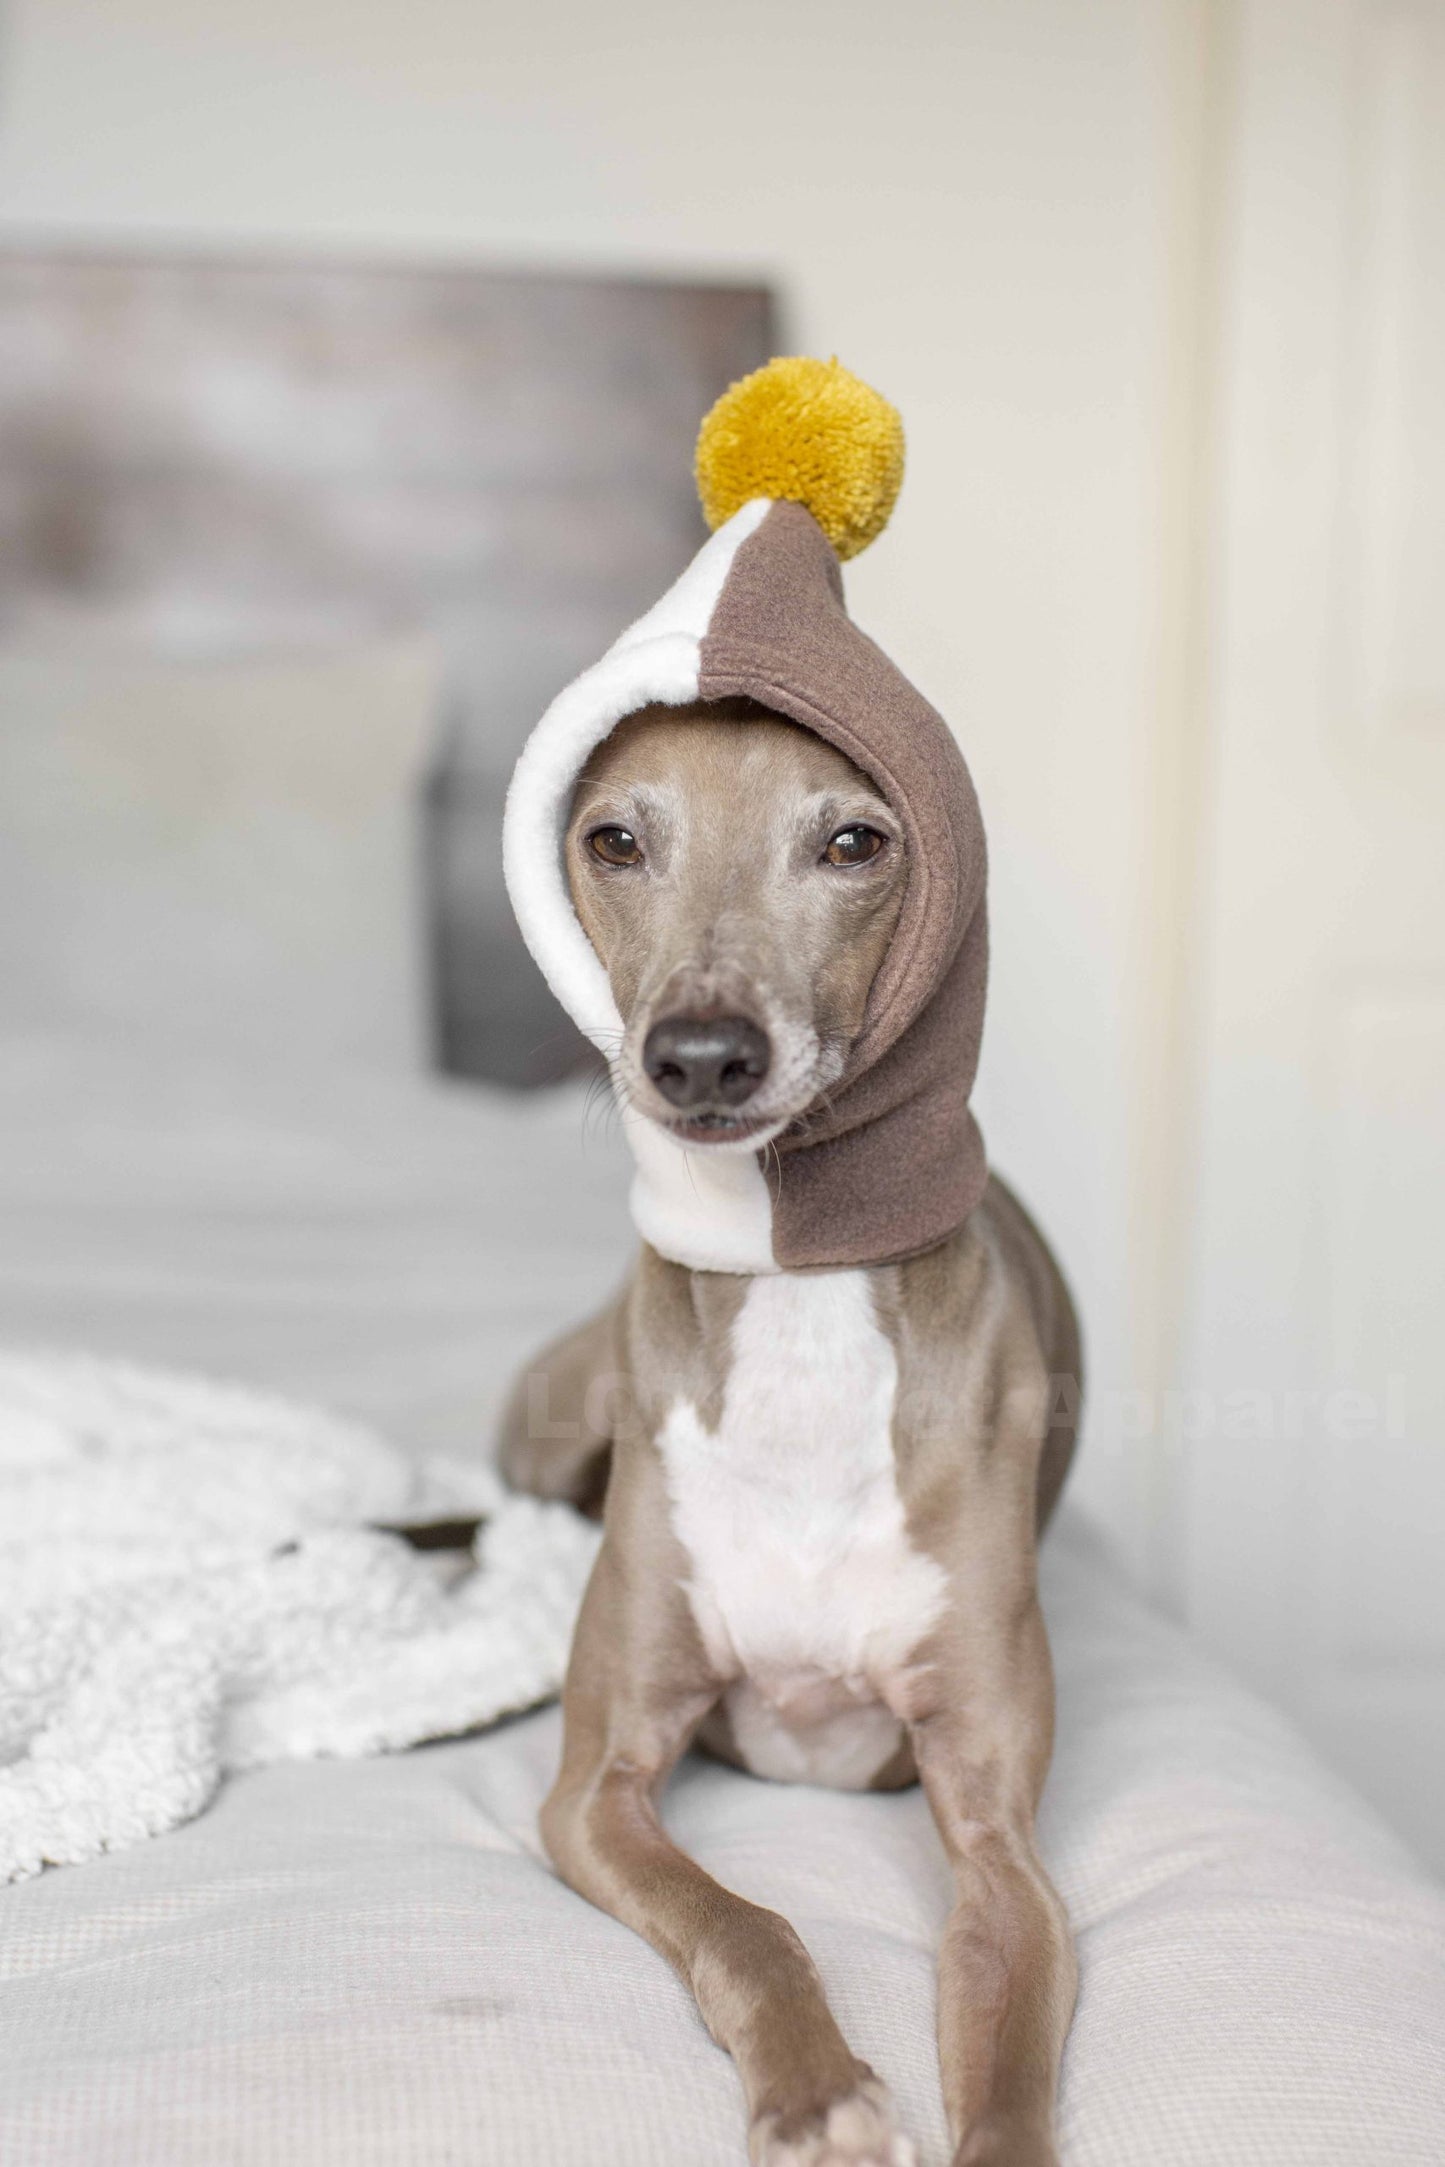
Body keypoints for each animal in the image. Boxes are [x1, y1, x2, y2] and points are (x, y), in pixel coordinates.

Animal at [502, 697, 1078, 2167]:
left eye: (853, 841)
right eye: (614, 838)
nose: (702, 1054)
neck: (801, 1313)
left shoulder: (1000, 1838)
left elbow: (1007, 2060)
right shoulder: (595, 1788)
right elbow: (748, 1923)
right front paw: (819, 2094)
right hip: (550, 1425)